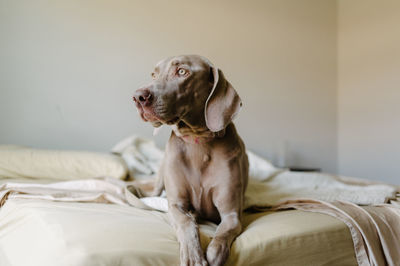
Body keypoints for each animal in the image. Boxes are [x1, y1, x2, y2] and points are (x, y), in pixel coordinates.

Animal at [133, 54, 248, 266]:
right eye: (153, 74)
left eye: (182, 72)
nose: (138, 97)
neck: (198, 142)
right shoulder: (175, 204)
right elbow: (186, 222)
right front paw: (193, 255)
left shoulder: (232, 215)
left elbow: (221, 236)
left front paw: (213, 254)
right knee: (149, 189)